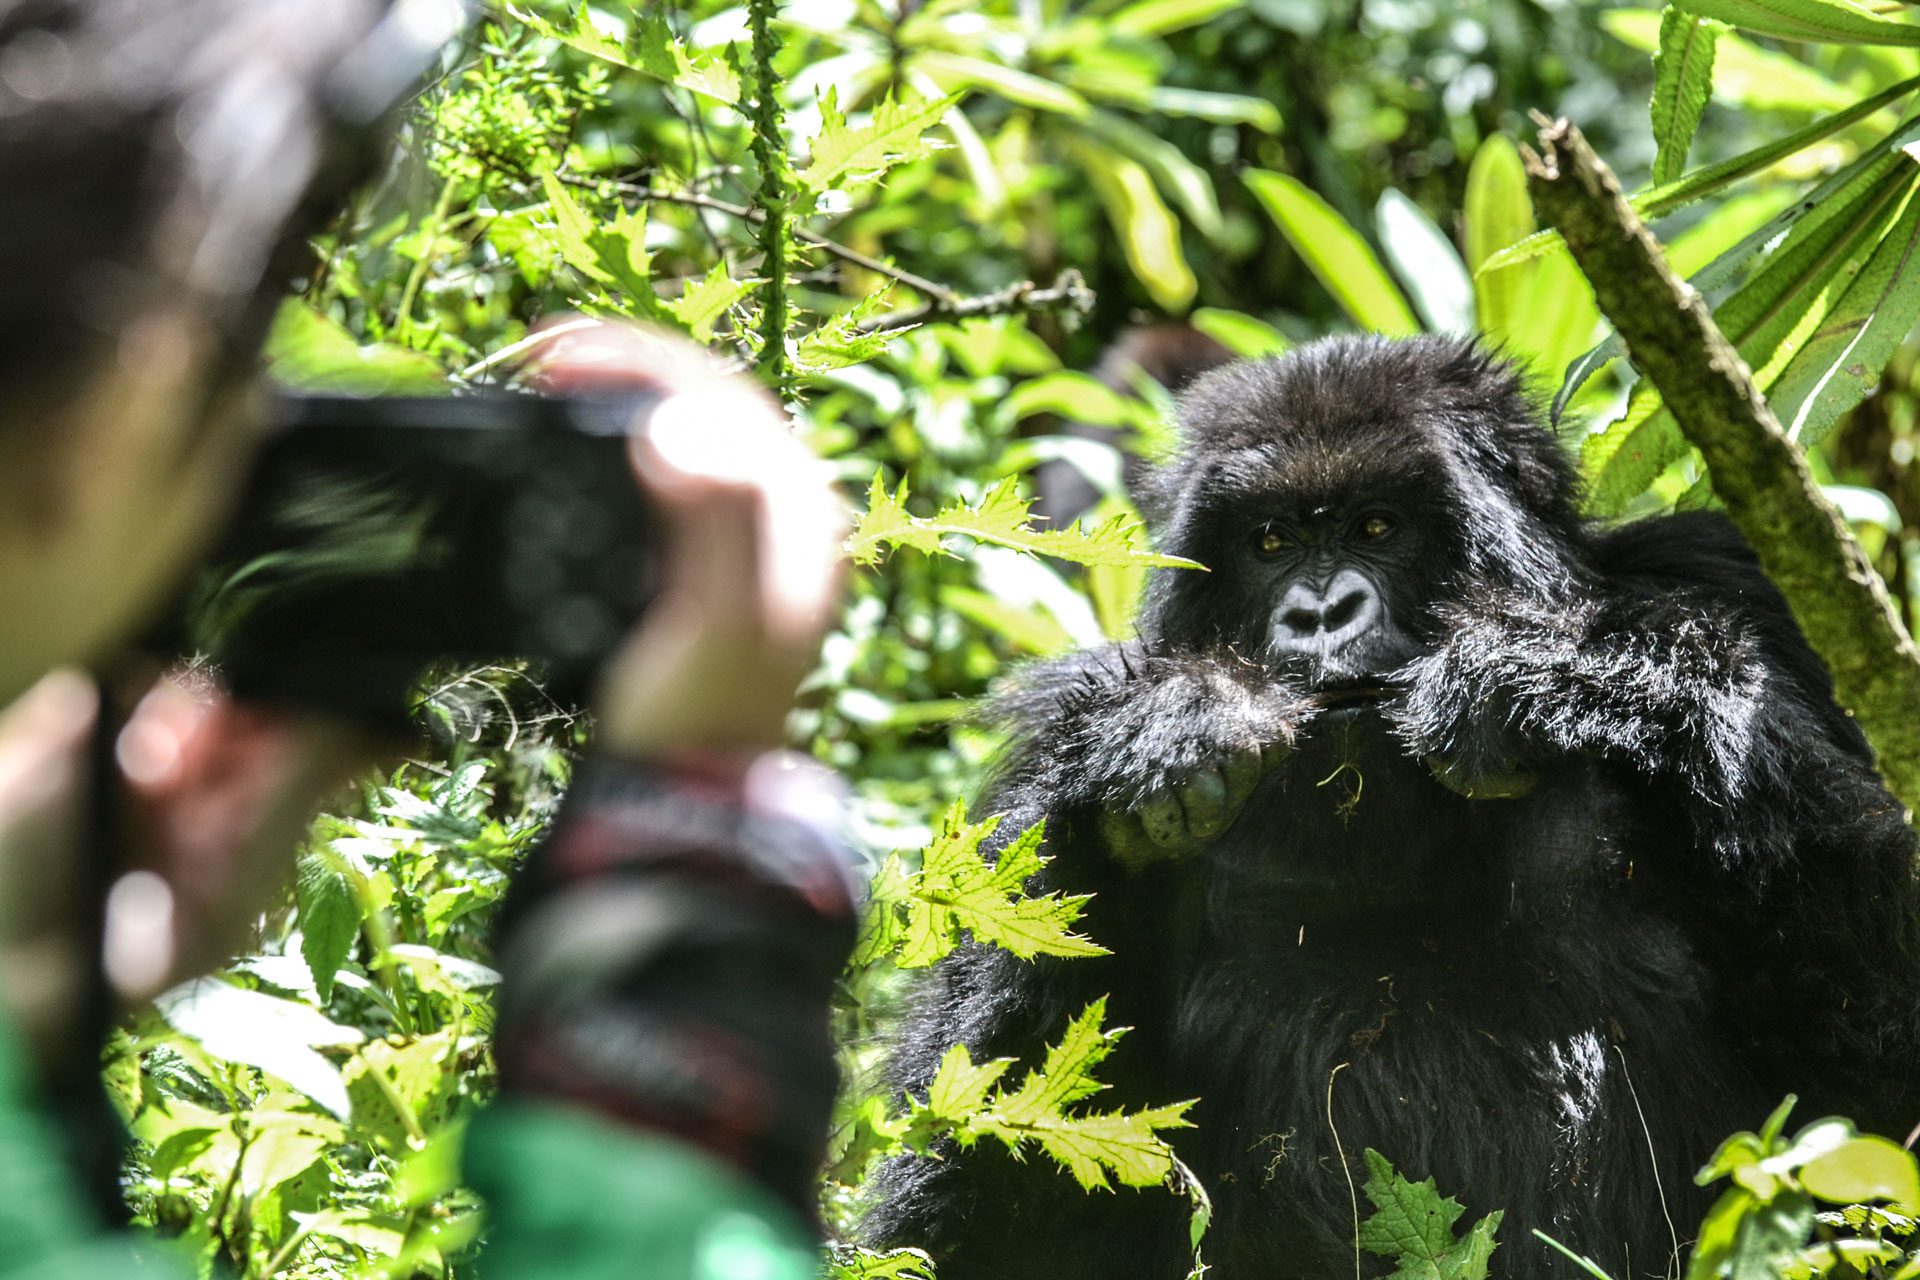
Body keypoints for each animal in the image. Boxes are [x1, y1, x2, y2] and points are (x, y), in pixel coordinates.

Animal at [864, 335, 1920, 1274]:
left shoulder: (1741, 581)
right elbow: (972, 1194)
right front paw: (1171, 731)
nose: (1322, 613)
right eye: (1270, 543)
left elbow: (1875, 1059)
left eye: (1377, 527)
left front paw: (1571, 677)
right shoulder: (1055, 730)